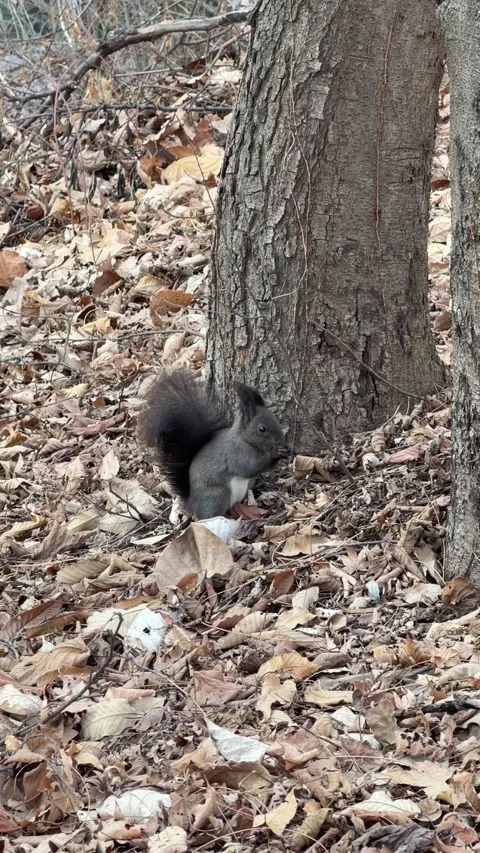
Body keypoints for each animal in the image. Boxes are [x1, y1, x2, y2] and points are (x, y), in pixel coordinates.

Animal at [138, 369, 288, 520]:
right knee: (208, 514)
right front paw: (275, 453)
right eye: (262, 429)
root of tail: (192, 503)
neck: (244, 439)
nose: (280, 440)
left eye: (275, 419)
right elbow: (248, 467)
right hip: (218, 494)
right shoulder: (236, 453)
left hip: (243, 486)